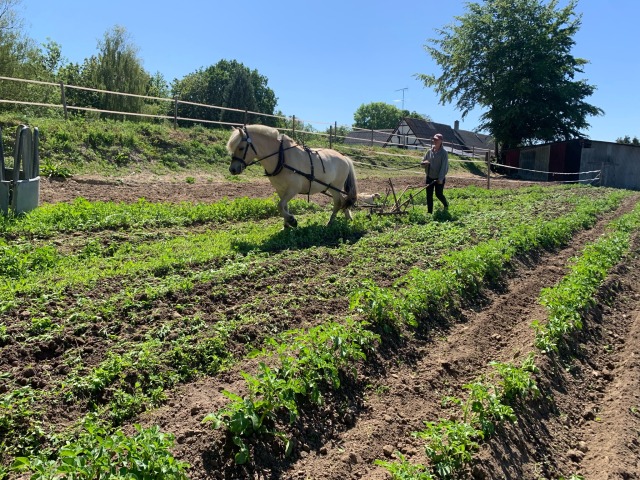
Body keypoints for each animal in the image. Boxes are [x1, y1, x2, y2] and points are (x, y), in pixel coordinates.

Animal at [226, 124, 358, 228]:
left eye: (241, 147)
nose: (232, 169)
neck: (282, 157)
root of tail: (344, 158)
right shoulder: (280, 189)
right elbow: (284, 206)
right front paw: (286, 224)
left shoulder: (293, 189)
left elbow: (280, 206)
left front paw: (292, 220)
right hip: (331, 187)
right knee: (344, 200)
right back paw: (348, 217)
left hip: (335, 186)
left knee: (338, 202)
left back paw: (330, 222)